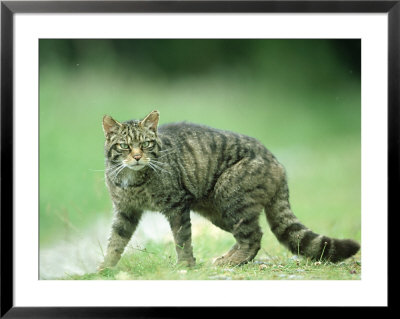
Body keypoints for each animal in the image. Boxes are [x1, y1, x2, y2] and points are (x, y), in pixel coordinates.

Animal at [99, 110, 360, 270]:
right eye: (124, 146)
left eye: (146, 144)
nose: (136, 157)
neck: (134, 181)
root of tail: (277, 162)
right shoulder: (125, 211)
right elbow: (115, 242)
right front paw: (104, 270)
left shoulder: (177, 206)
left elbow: (182, 240)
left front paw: (185, 267)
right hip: (220, 212)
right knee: (249, 236)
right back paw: (226, 258)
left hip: (232, 198)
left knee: (252, 237)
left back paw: (231, 262)